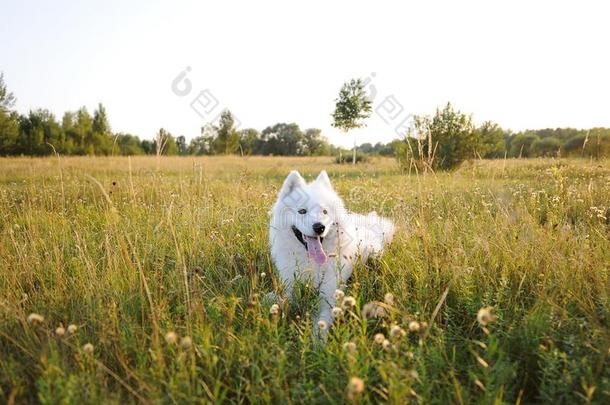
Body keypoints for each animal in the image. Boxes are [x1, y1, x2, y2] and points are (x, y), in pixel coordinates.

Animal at [268, 169, 392, 332]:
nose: (319, 227)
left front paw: (316, 338)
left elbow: (321, 323)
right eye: (302, 211)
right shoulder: (290, 285)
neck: (311, 263)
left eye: (325, 211)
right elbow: (281, 299)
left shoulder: (329, 297)